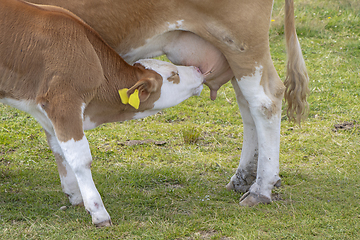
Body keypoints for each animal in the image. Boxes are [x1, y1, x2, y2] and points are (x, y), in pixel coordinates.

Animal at [0, 0, 205, 227]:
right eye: (173, 74)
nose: (197, 69)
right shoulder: (64, 101)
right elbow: (81, 158)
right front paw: (98, 211)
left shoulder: (45, 110)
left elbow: (60, 150)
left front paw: (75, 195)